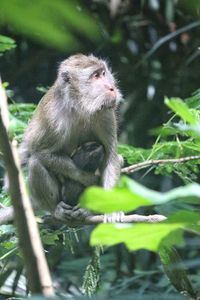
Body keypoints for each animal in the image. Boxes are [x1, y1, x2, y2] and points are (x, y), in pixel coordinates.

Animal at [0, 52, 122, 224]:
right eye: (96, 76)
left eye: (103, 73)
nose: (111, 87)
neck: (79, 105)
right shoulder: (52, 119)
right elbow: (41, 153)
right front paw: (85, 177)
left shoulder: (105, 114)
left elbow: (111, 158)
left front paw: (111, 209)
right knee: (35, 163)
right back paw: (56, 210)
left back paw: (88, 210)